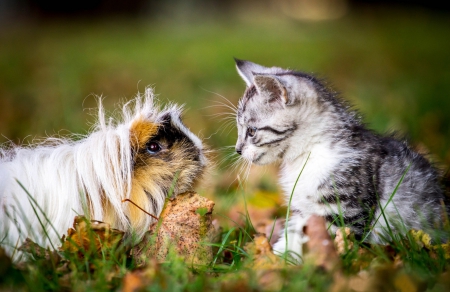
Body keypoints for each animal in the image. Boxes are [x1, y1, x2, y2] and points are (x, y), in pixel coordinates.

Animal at [234, 59, 448, 262]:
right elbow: (291, 239)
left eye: (251, 131)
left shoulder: (345, 210)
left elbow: (330, 244)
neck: (307, 155)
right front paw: (273, 262)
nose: (237, 150)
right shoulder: (302, 211)